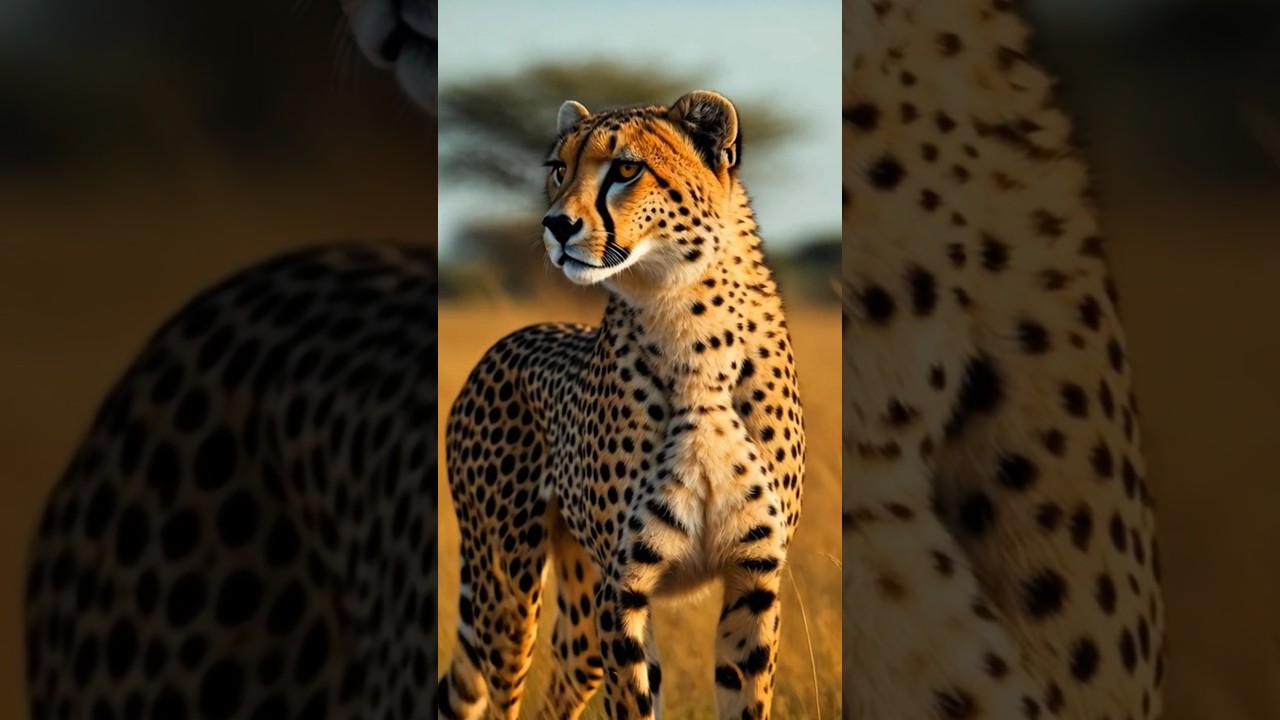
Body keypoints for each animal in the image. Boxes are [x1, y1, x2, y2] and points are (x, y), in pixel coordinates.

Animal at [436, 90, 806, 720]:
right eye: (558, 169)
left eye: (627, 169)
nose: (555, 224)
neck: (692, 326)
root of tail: (508, 340)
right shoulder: (624, 586)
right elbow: (634, 700)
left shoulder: (753, 580)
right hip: (508, 588)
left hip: (579, 612)